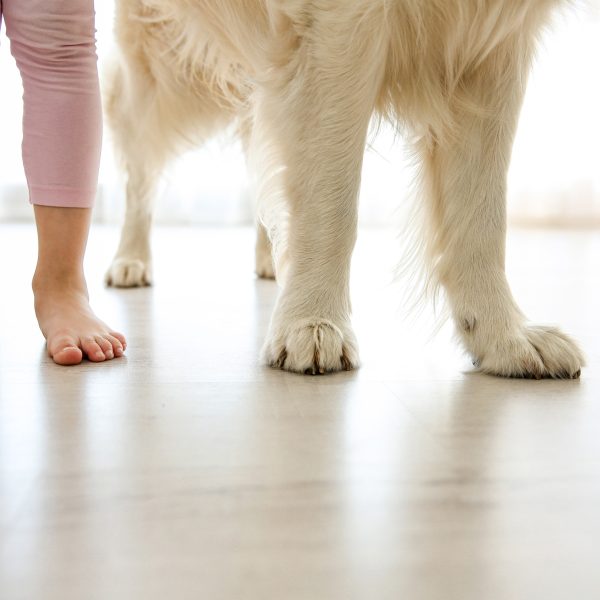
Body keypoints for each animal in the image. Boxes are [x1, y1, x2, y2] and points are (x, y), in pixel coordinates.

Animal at [105, 0, 584, 380]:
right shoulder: (338, 25)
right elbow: (330, 202)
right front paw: (311, 320)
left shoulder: (491, 42)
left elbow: (481, 220)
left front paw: (503, 336)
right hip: (160, 76)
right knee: (139, 174)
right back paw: (130, 259)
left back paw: (271, 260)